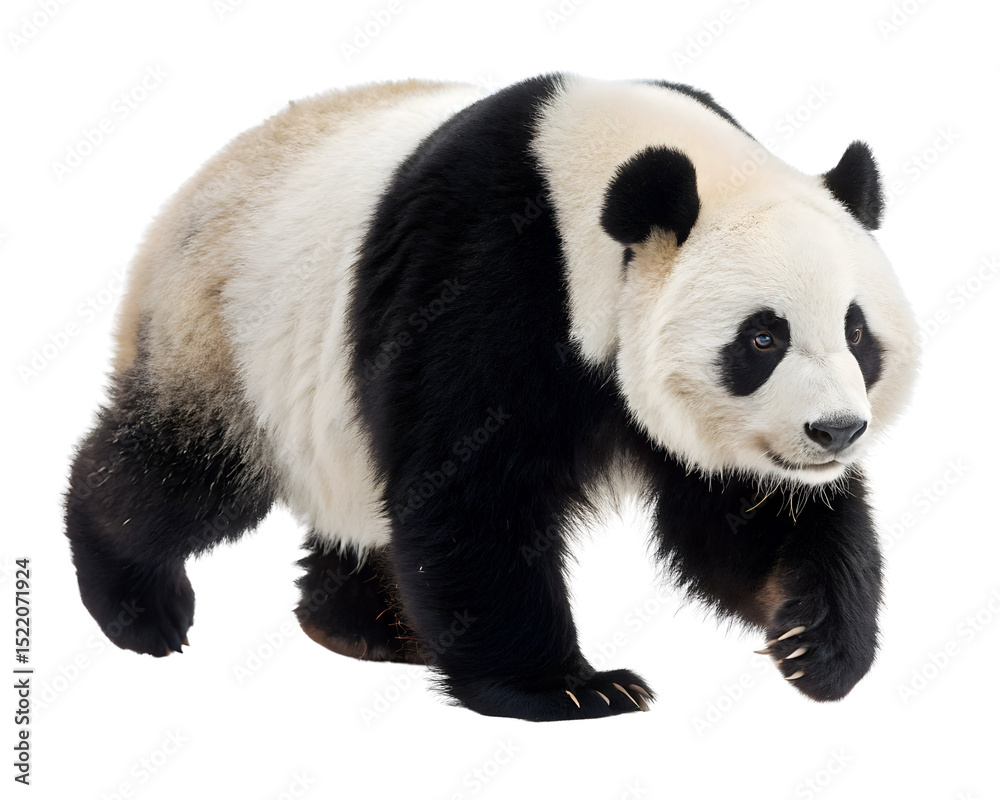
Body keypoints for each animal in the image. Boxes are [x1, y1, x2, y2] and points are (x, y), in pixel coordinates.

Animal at [64, 74, 918, 722]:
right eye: (762, 339)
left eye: (857, 333)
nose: (836, 431)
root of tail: (190, 190)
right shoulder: (483, 275)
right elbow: (470, 492)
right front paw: (572, 690)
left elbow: (740, 511)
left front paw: (816, 643)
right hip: (224, 329)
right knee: (186, 473)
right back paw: (137, 603)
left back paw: (365, 628)